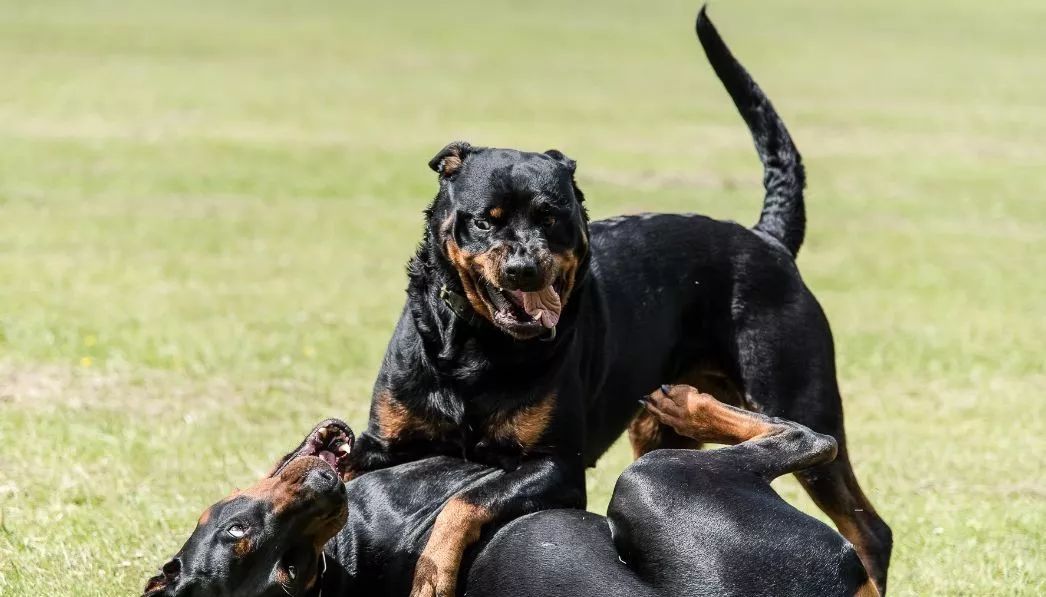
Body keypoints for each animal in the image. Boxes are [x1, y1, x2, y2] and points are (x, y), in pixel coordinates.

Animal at [141, 384, 874, 593]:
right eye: (287, 567)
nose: (326, 490)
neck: (348, 558)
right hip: (653, 486)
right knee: (809, 438)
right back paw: (688, 405)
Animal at [340, 6, 891, 593]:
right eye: (485, 220)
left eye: (551, 217)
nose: (524, 268)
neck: (476, 349)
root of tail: (766, 238)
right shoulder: (383, 445)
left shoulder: (555, 464)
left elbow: (465, 501)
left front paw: (433, 574)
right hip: (659, 430)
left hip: (796, 393)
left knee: (867, 523)